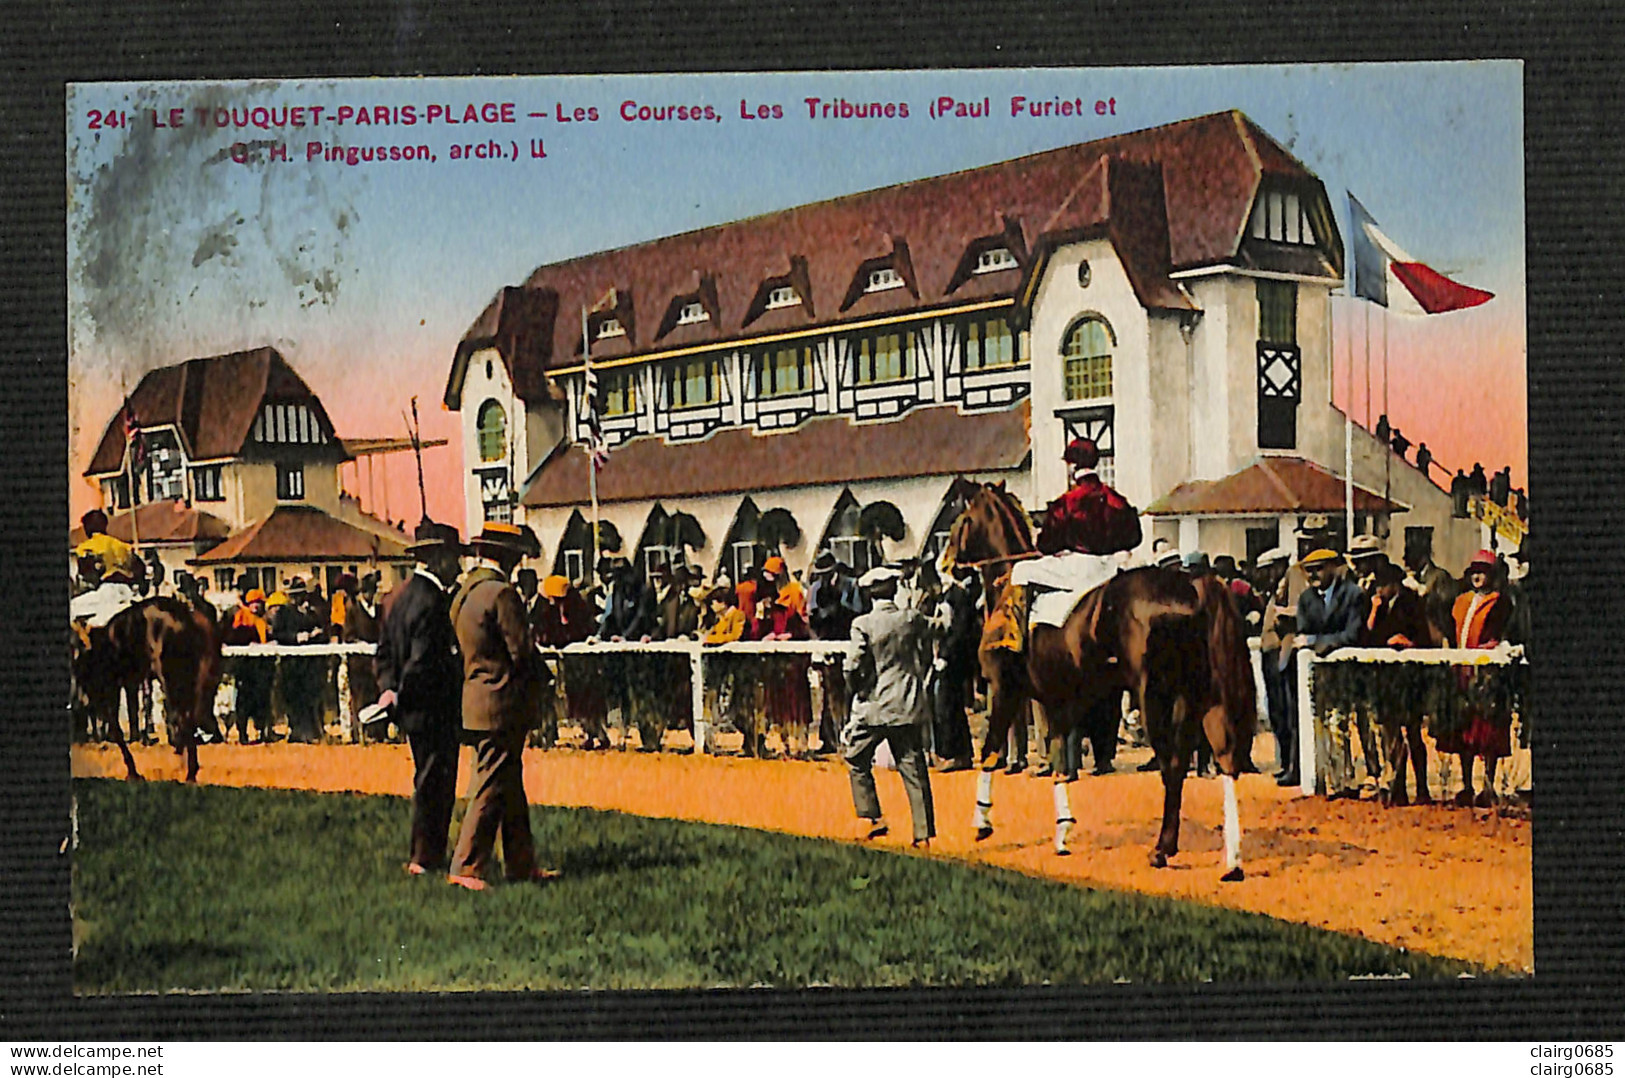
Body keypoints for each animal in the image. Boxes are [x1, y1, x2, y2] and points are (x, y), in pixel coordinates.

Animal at [73, 598, 224, 783]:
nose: (82, 701)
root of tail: (190, 618)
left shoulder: (113, 687)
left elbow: (117, 727)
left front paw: (133, 771)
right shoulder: (128, 684)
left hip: (172, 680)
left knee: (183, 718)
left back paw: (188, 770)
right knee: (191, 715)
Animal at [942, 484, 1254, 884]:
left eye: (960, 518)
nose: (946, 564)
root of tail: (1193, 585)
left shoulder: (1005, 689)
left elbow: (991, 751)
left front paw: (981, 821)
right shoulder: (1056, 699)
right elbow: (1059, 760)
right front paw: (1062, 832)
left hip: (1154, 697)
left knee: (1172, 765)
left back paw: (1163, 849)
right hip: (1197, 696)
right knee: (1222, 757)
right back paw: (1231, 860)